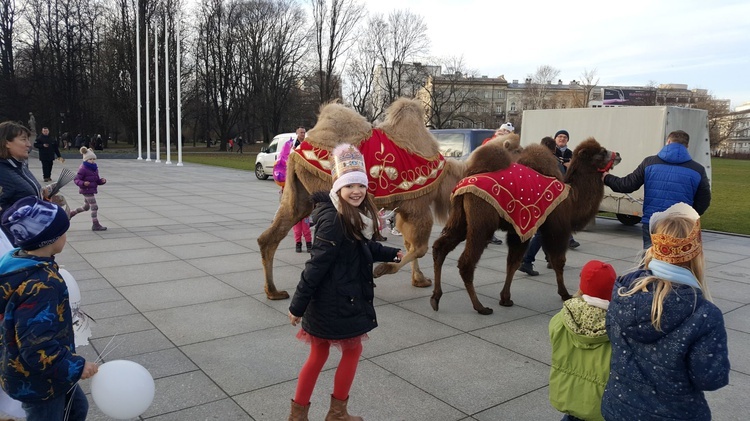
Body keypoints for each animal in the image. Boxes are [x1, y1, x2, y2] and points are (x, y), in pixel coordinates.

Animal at [260, 99, 470, 298]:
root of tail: (297, 151)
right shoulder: (418, 206)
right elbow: (419, 247)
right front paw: (383, 269)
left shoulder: (406, 209)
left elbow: (409, 243)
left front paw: (419, 279)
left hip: (300, 195)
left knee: (271, 235)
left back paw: (273, 291)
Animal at [432, 137, 620, 312]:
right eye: (602, 152)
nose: (618, 154)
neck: (571, 199)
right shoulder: (556, 229)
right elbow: (558, 261)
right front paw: (565, 294)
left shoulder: (519, 230)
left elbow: (513, 262)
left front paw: (505, 298)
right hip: (482, 222)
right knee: (466, 262)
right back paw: (480, 307)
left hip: (460, 219)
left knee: (440, 247)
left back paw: (436, 298)